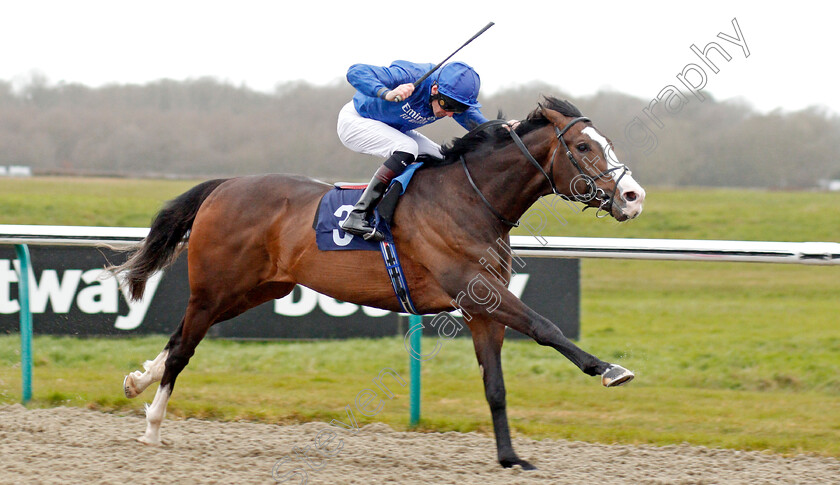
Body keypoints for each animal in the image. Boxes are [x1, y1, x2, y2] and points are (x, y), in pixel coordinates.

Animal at [113, 97, 644, 468]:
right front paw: (610, 369)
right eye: (583, 147)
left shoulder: (480, 307)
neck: (470, 201)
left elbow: (495, 385)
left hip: (256, 289)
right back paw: (153, 425)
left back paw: (139, 381)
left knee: (180, 336)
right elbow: (545, 328)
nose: (633, 197)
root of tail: (223, 185)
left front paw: (510, 457)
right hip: (216, 286)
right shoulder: (479, 289)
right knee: (184, 347)